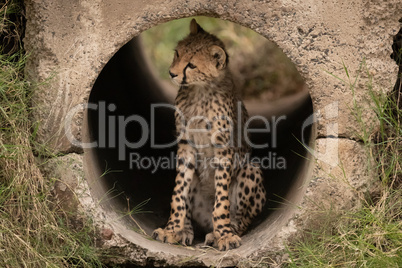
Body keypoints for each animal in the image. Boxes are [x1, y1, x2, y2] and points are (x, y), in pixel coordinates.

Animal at [152, 19, 266, 251]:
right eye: (177, 54)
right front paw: (172, 229)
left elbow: (221, 199)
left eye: (191, 65)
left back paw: (221, 232)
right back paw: (185, 231)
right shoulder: (186, 147)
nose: (171, 73)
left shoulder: (224, 150)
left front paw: (224, 235)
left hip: (251, 168)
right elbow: (179, 192)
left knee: (242, 220)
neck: (200, 90)